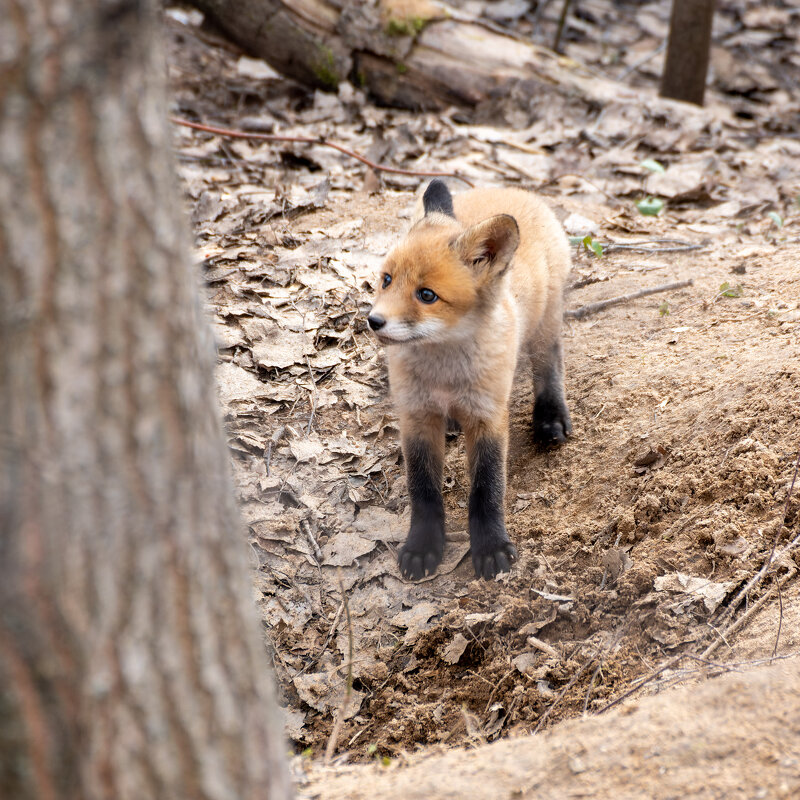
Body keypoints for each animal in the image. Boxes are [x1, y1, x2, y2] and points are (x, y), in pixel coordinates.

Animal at [368, 181, 568, 580]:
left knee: (549, 364)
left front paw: (491, 547)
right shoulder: (415, 416)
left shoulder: (487, 415)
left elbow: (487, 489)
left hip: (544, 328)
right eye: (387, 280)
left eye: (426, 295)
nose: (374, 321)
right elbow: (423, 491)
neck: (444, 375)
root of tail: (511, 188)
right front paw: (423, 546)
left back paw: (551, 416)